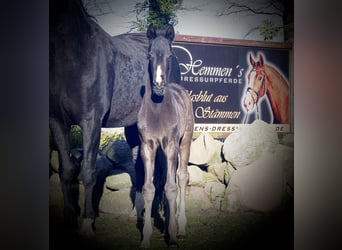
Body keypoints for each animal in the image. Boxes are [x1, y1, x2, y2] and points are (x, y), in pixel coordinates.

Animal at [50, 0, 182, 234]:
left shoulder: (91, 122)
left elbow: (88, 172)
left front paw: (87, 225)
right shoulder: (57, 122)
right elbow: (66, 171)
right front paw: (68, 221)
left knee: (165, 170)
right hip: (133, 128)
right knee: (139, 167)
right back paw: (138, 212)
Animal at [138, 24, 194, 247]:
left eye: (170, 55)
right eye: (149, 55)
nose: (159, 85)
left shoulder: (171, 145)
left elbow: (171, 188)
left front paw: (172, 235)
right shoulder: (147, 146)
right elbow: (149, 188)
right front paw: (146, 238)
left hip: (185, 142)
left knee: (182, 176)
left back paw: (181, 226)